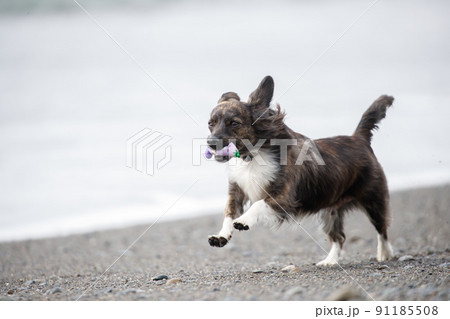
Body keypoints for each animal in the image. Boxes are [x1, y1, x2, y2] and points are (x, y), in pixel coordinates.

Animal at [207, 76, 394, 266]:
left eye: (234, 123)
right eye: (210, 124)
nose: (210, 142)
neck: (253, 155)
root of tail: (359, 138)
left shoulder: (283, 197)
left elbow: (258, 204)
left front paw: (244, 220)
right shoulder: (237, 192)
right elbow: (229, 214)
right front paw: (221, 236)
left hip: (373, 200)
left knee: (382, 229)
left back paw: (384, 253)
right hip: (330, 211)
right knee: (339, 237)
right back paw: (330, 261)